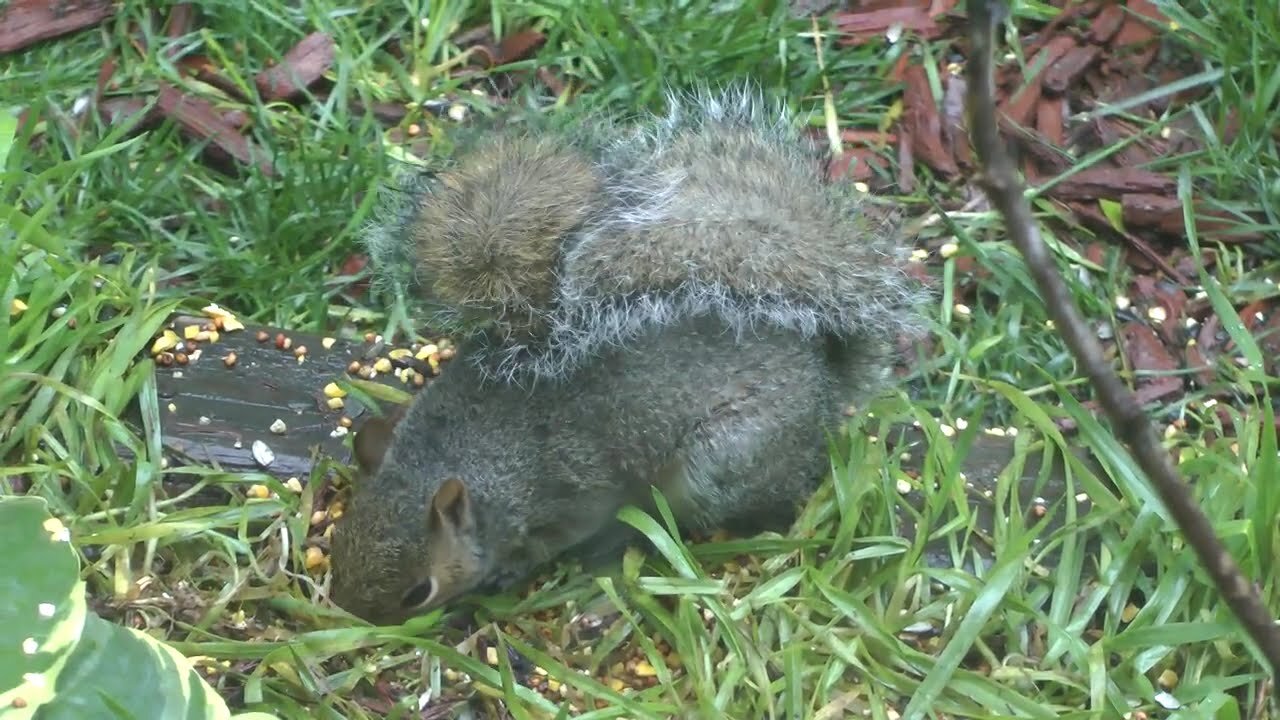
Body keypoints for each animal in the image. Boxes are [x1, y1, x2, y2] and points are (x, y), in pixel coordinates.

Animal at [327, 83, 931, 622]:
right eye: (338, 544)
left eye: (417, 592)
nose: (353, 617)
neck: (460, 455)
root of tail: (825, 383)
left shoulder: (573, 491)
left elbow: (562, 532)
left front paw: (513, 569)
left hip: (723, 460)